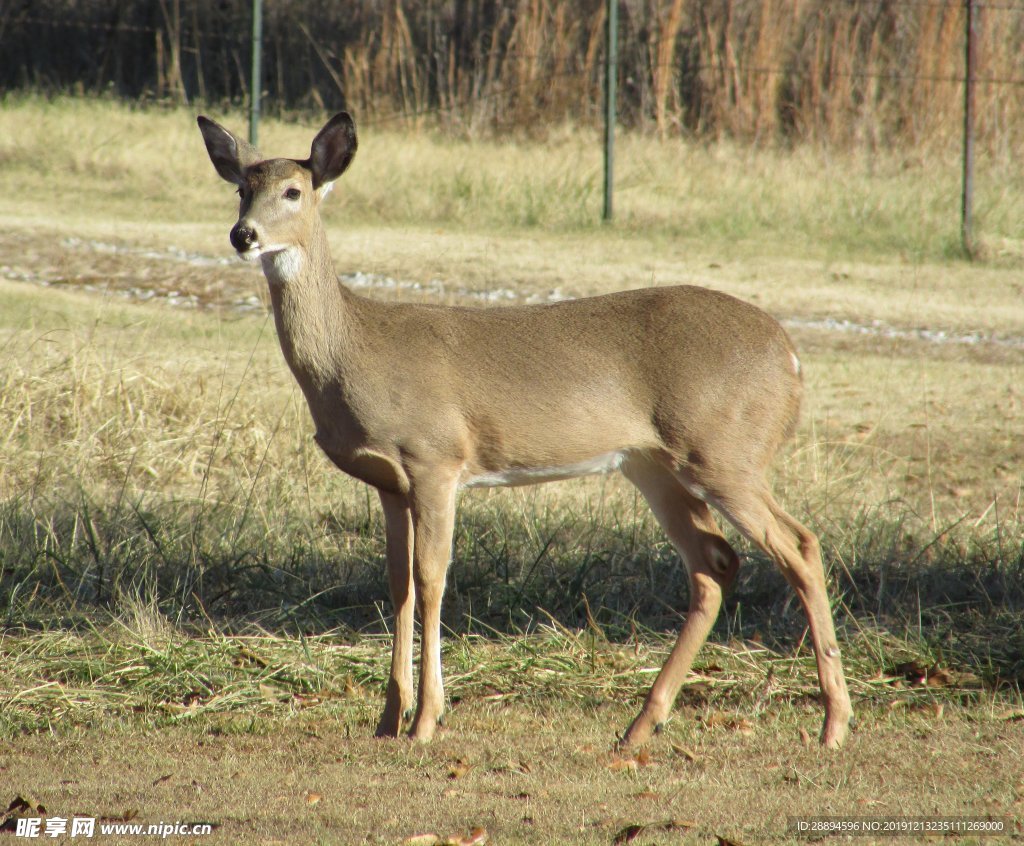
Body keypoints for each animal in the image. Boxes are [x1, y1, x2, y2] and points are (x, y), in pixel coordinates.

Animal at [195, 110, 851, 745]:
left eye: (293, 191)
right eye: (240, 189)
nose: (243, 235)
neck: (354, 353)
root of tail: (791, 357)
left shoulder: (435, 457)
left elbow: (432, 579)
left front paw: (427, 721)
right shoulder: (389, 483)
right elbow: (397, 584)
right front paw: (387, 720)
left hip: (724, 449)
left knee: (800, 546)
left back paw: (833, 724)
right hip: (655, 464)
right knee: (715, 563)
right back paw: (640, 727)